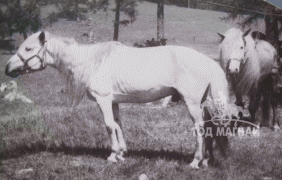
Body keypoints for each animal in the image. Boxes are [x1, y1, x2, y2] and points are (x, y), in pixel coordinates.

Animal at [5, 31, 231, 169]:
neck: (92, 62)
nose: (7, 68)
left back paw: (195, 161)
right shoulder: (113, 102)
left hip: (192, 103)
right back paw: (206, 161)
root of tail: (208, 61)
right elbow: (117, 124)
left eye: (28, 48)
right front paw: (122, 153)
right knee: (209, 129)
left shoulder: (103, 100)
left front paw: (113, 156)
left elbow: (108, 125)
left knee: (200, 128)